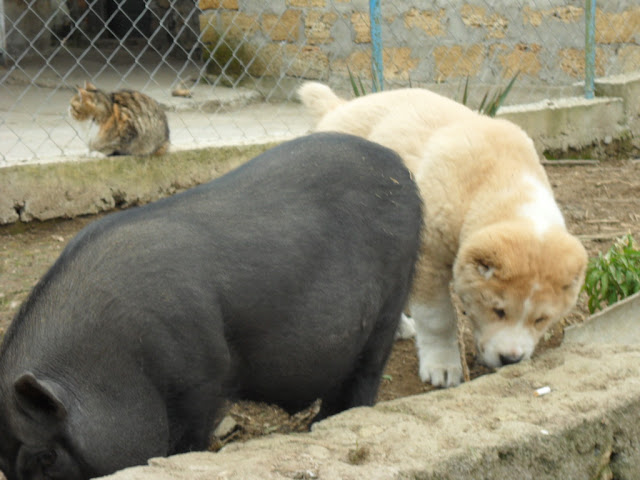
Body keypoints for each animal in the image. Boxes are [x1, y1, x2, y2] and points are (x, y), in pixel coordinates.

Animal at [0, 132, 422, 480]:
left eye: (46, 457)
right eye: (8, 468)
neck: (118, 363)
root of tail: (402, 169)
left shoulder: (203, 378)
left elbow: (186, 441)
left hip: (392, 298)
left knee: (366, 375)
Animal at [302, 82, 592, 388]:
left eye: (541, 319)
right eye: (498, 310)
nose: (510, 359)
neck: (501, 182)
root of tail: (338, 107)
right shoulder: (428, 255)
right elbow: (437, 318)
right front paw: (442, 367)